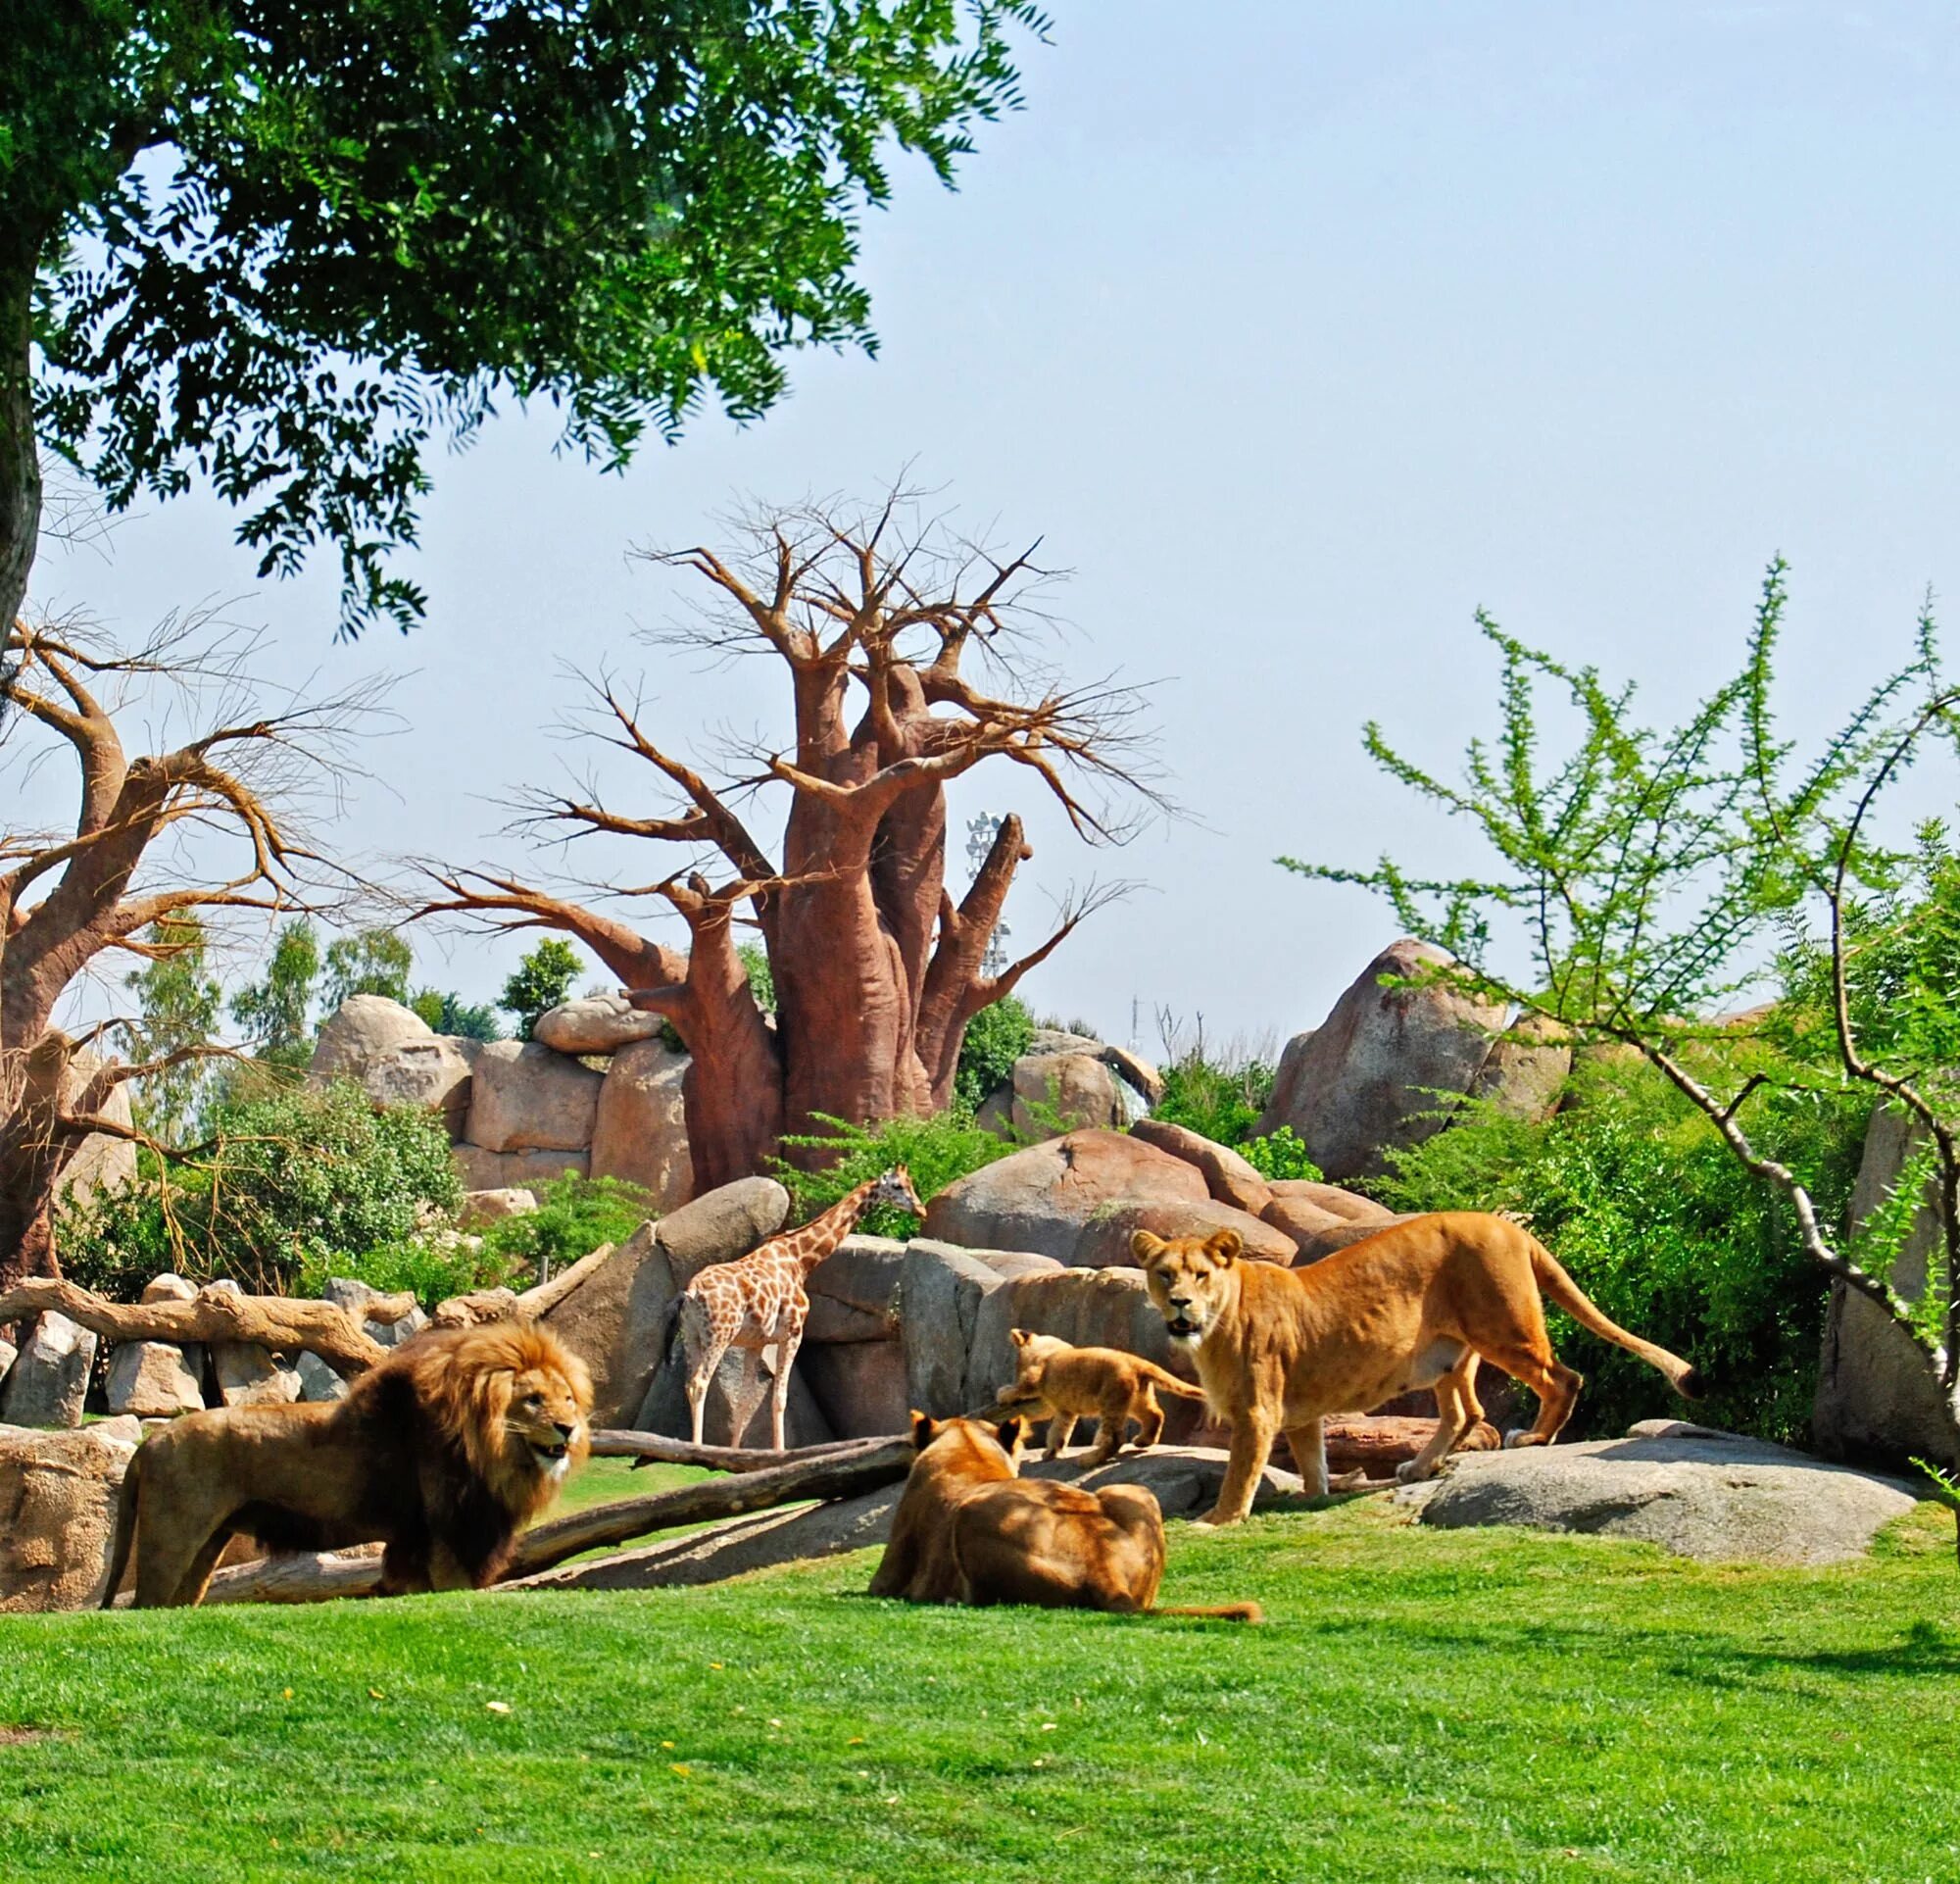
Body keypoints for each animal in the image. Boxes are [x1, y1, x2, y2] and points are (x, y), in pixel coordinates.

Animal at [103, 1317, 588, 1608]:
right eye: (533, 1400)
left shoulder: (415, 1542)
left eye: (567, 1399)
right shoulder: (446, 1539)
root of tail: (151, 1441)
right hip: (170, 1540)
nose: (568, 1428)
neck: (494, 1450)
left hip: (206, 1544)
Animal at [666, 1168, 925, 1451]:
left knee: (689, 1383)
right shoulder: (793, 1334)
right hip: (719, 1335)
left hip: (692, 1335)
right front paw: (779, 1450)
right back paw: (696, 1447)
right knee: (700, 1382)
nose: (921, 1209)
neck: (800, 1259)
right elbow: (780, 1398)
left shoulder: (756, 1343)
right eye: (898, 1186)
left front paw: (735, 1451)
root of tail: (693, 1293)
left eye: (911, 1184)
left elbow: (745, 1400)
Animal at [1137, 1208, 1701, 1529]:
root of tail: (1508, 1227)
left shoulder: (1259, 1411)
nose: (1181, 1303)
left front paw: (1217, 1520)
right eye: (1164, 1275)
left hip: (1502, 1327)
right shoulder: (1299, 1415)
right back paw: (1420, 1468)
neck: (1217, 1324)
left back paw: (1534, 1438)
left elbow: (1240, 1471)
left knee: (1562, 1378)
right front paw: (1318, 1495)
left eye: (1201, 1275)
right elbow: (1313, 1461)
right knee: (1467, 1413)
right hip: (1451, 1355)